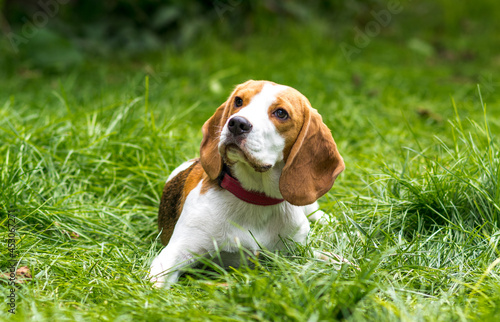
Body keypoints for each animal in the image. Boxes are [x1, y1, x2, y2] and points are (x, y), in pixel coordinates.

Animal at [148, 80, 344, 286]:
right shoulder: (174, 254)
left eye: (281, 113)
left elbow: (329, 258)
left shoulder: (296, 251)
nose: (237, 123)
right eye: (238, 101)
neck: (256, 198)